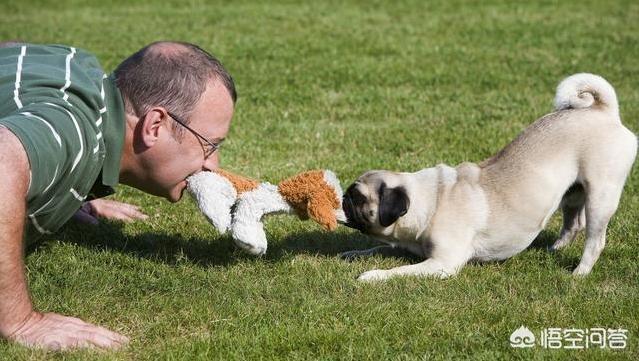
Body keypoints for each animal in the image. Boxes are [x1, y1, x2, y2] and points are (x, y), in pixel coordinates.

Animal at [344, 73, 639, 282]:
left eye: (358, 198)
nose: (343, 199)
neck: (430, 200)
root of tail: (604, 112)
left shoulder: (443, 264)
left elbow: (397, 272)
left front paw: (372, 275)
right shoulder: (408, 246)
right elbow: (378, 249)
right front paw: (354, 253)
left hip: (601, 196)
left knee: (594, 240)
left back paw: (580, 273)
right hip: (572, 193)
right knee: (572, 223)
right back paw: (555, 249)